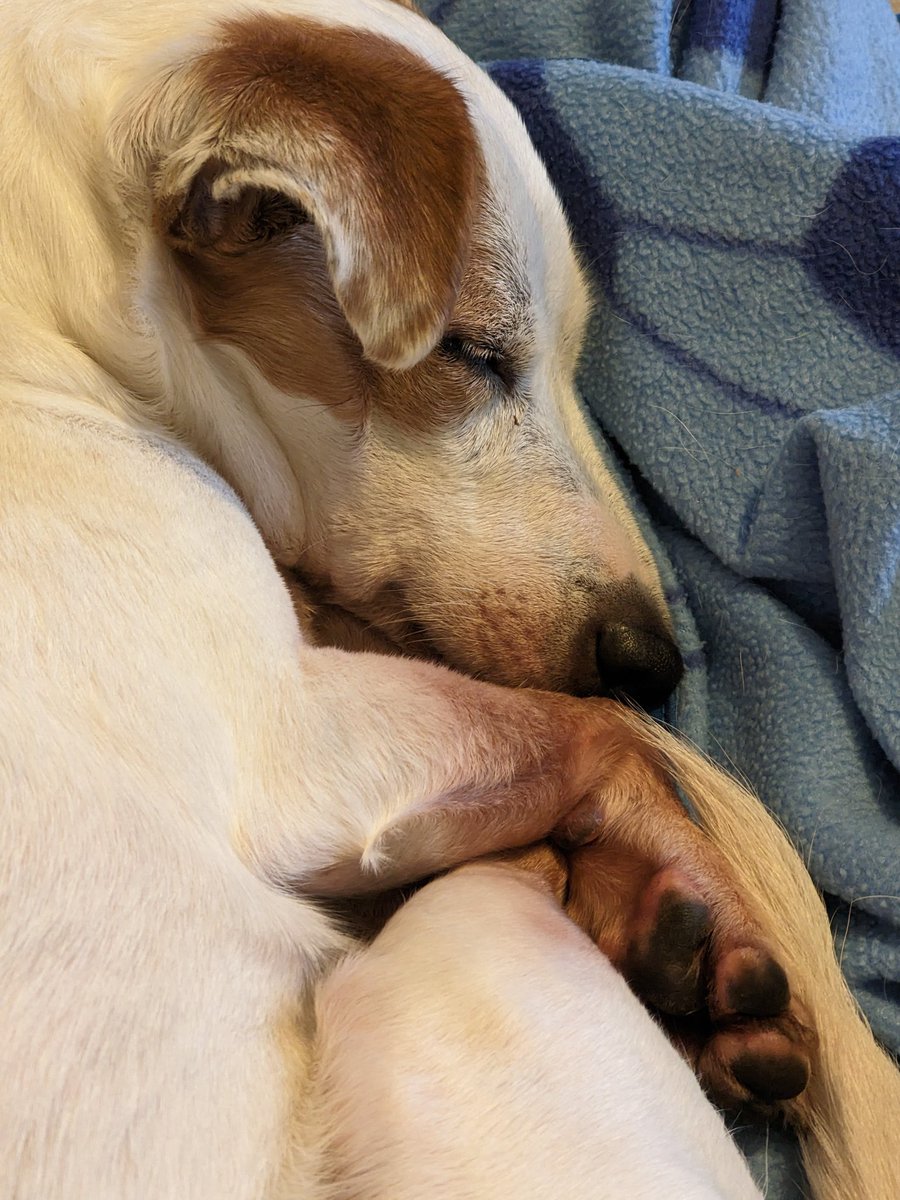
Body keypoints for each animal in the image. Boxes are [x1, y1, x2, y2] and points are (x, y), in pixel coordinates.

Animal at [1, 2, 900, 1200]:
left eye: (569, 360)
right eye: (471, 353)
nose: (656, 662)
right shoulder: (298, 739)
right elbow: (594, 736)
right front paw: (682, 881)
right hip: (462, 954)